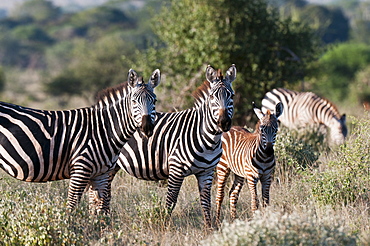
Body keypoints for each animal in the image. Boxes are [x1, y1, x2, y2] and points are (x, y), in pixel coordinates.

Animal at [0, 68, 160, 214]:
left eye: (155, 101)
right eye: (134, 101)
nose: (147, 127)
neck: (104, 129)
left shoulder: (101, 175)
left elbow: (100, 211)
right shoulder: (80, 170)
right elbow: (72, 207)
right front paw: (68, 227)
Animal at [108, 64, 236, 228]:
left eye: (232, 96)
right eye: (212, 97)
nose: (224, 122)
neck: (209, 140)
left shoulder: (207, 172)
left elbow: (206, 202)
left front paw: (209, 228)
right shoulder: (176, 169)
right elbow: (171, 201)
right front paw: (164, 227)